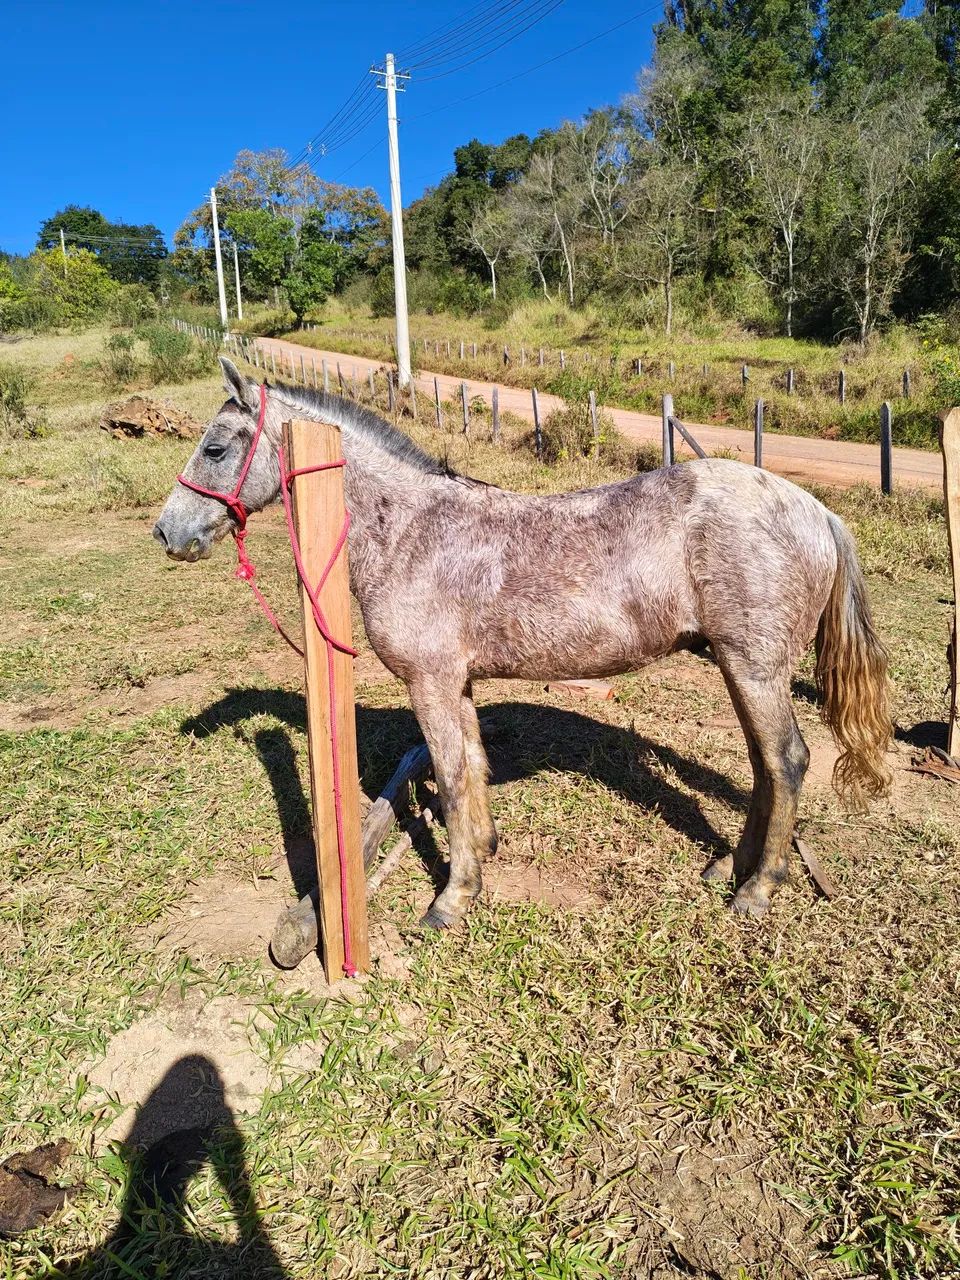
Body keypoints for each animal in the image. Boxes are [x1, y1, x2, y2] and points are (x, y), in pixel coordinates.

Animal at [154, 358, 891, 928]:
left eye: (215, 449)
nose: (168, 532)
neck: (411, 530)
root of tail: (817, 511)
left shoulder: (429, 682)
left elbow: (452, 777)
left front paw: (451, 898)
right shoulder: (457, 684)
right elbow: (470, 767)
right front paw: (482, 854)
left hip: (756, 667)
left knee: (787, 762)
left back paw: (758, 890)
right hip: (741, 669)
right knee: (766, 768)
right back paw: (729, 867)